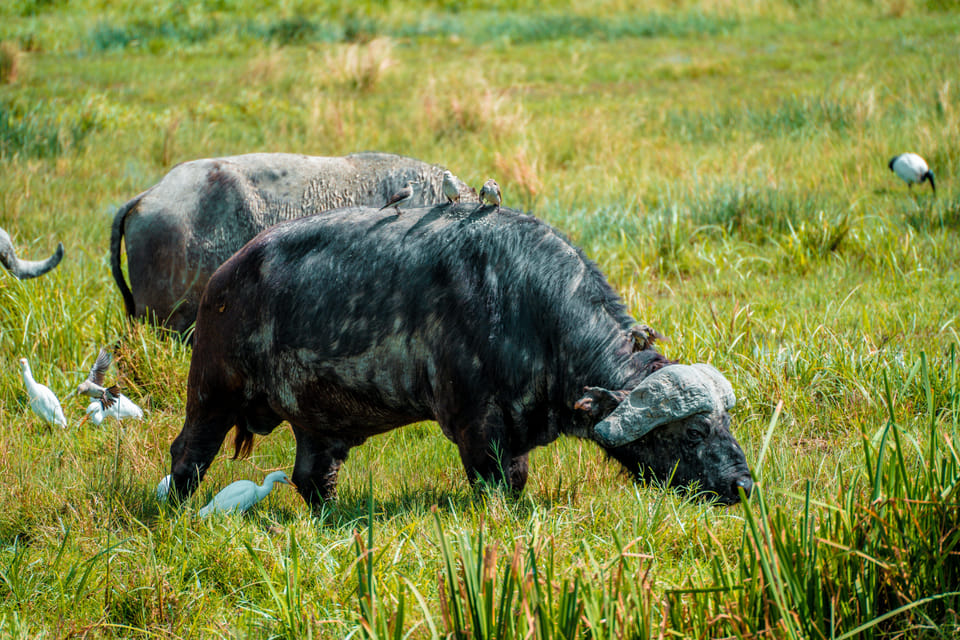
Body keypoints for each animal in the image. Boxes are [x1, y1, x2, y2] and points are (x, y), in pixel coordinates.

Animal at [169, 202, 752, 508]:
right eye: (694, 432)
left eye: (728, 424)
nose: (743, 484)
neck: (527, 307)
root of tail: (225, 277)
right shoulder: (477, 428)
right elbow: (499, 482)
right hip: (211, 392)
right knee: (189, 453)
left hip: (315, 424)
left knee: (313, 476)